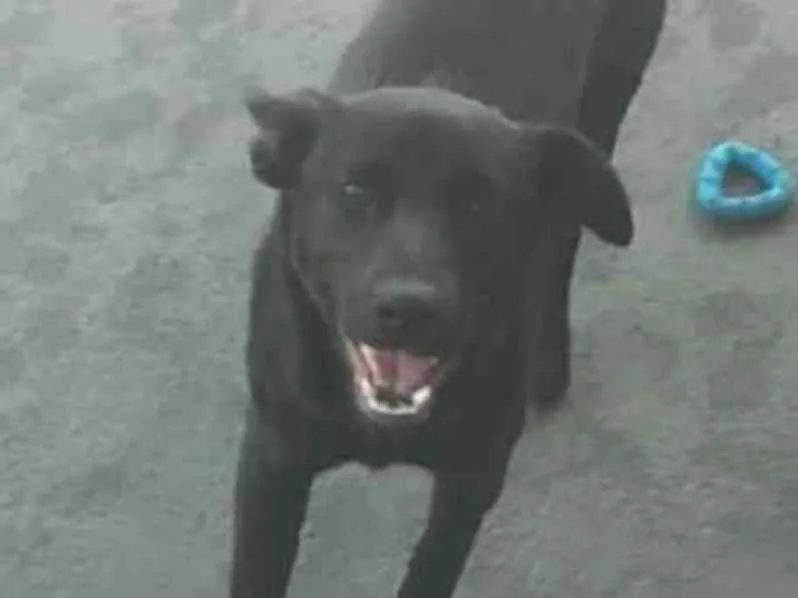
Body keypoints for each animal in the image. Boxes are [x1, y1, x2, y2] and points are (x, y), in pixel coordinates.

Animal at [231, 0, 666, 596]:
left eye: (480, 206)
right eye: (355, 191)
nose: (409, 308)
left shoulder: (473, 479)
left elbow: (431, 570)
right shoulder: (272, 462)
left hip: (610, 93)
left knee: (563, 242)